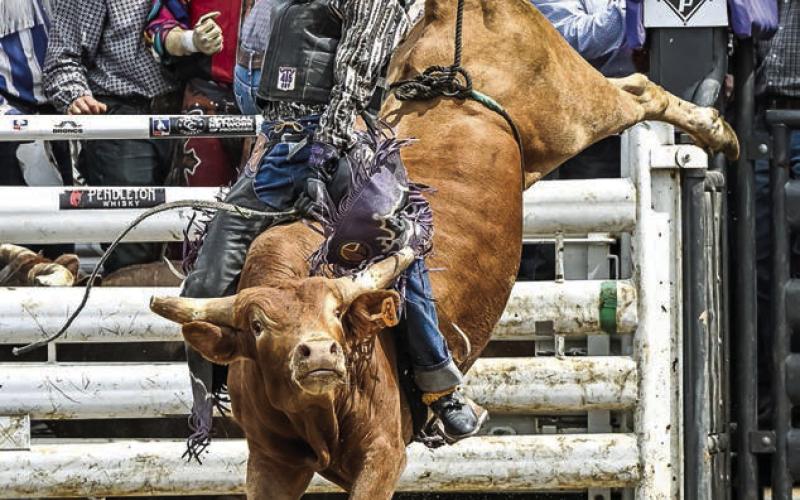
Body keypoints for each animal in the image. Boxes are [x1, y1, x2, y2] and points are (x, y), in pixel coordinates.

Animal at [151, 0, 739, 498]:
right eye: (257, 324)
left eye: (338, 314)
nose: (319, 354)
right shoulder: (271, 463)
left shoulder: (382, 455)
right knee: (635, 87)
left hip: (573, 109)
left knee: (638, 91)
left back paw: (718, 131)